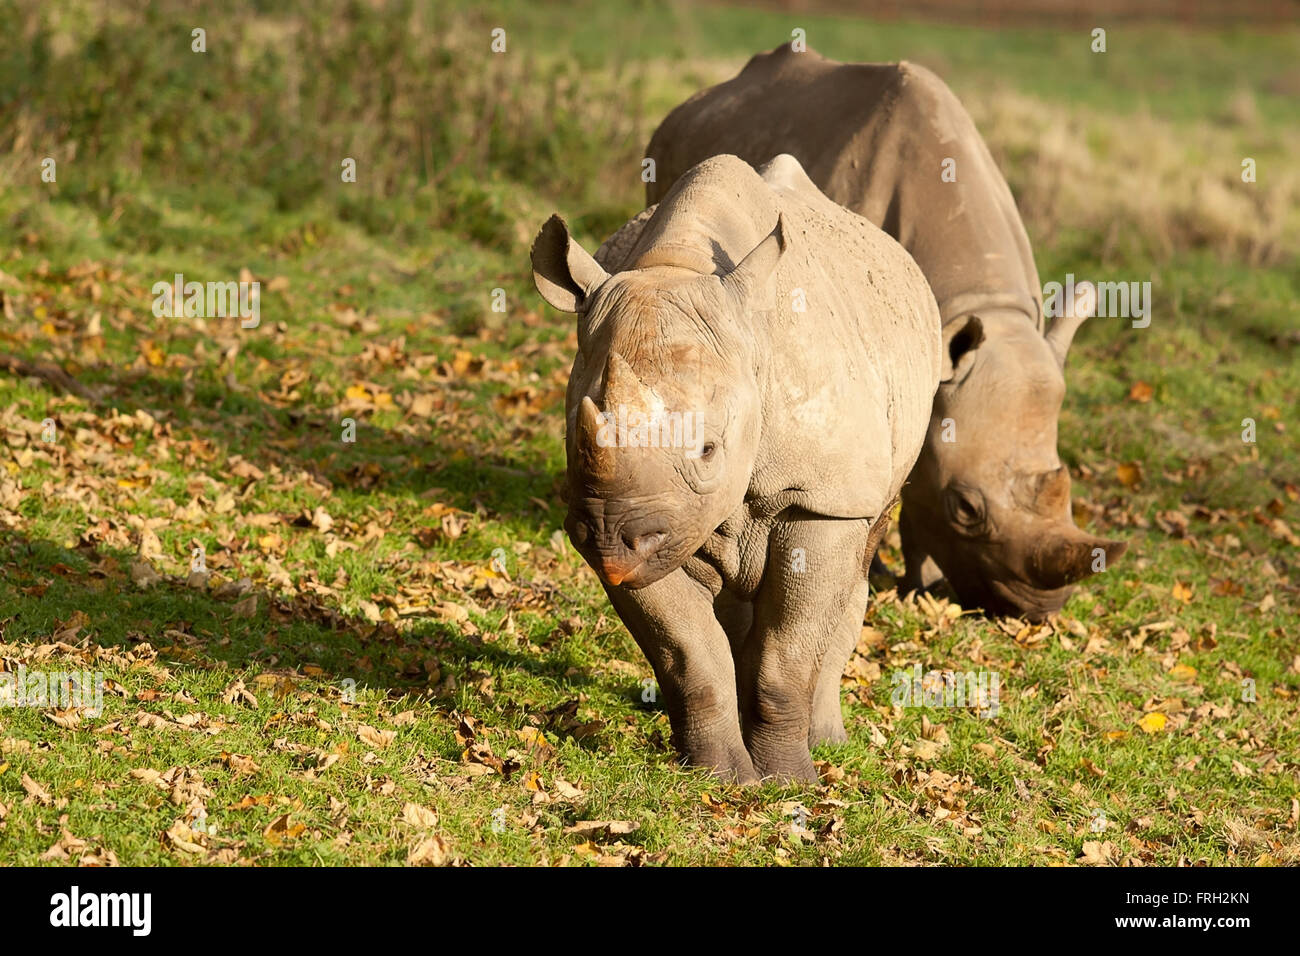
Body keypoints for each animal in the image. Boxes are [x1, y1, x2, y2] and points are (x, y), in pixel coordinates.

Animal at [533, 155, 941, 785]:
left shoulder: (821, 496)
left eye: (707, 450)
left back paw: (827, 742)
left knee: (860, 557)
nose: (611, 542)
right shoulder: (653, 521)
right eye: (577, 436)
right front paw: (720, 778)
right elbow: (690, 653)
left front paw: (790, 781)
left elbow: (787, 653)